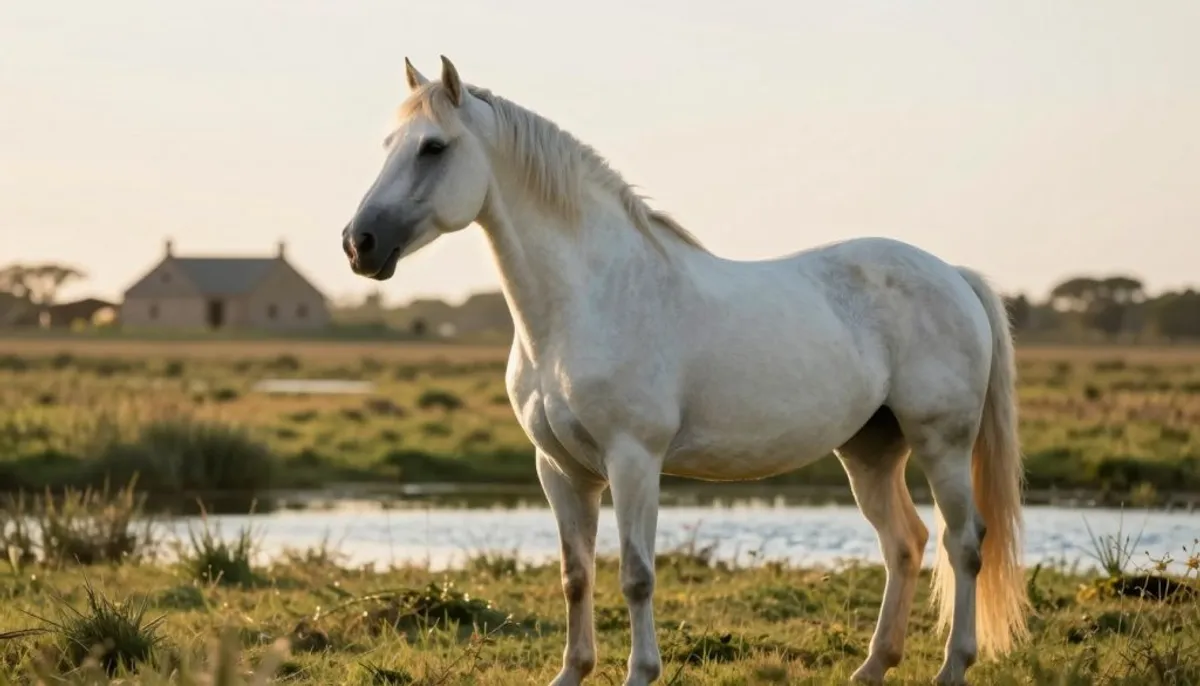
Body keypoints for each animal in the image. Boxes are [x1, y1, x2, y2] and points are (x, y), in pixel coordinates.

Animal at [339, 56, 1030, 686]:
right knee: (904, 544)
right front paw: (573, 671)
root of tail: (952, 275)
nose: (358, 243)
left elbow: (636, 574)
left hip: (941, 443)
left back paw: (952, 667)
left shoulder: (633, 460)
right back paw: (872, 667)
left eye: (433, 147)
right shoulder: (560, 469)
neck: (585, 301)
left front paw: (641, 672)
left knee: (964, 543)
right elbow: (575, 574)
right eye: (388, 146)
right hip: (870, 450)